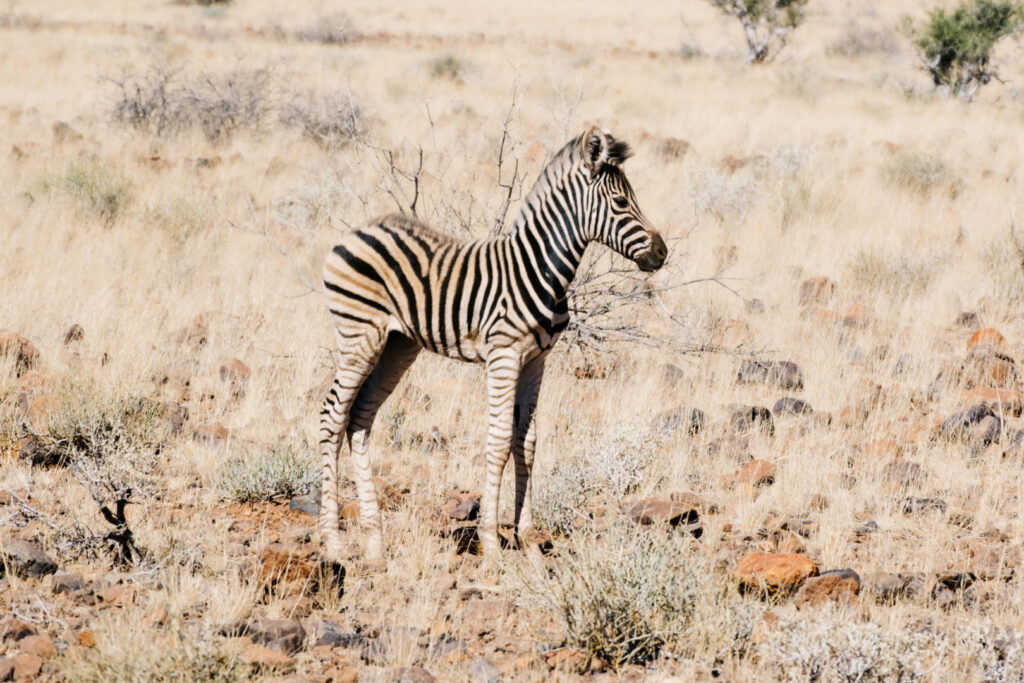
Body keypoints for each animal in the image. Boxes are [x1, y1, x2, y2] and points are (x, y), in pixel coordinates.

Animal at [321, 125, 671, 565]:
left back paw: (375, 542)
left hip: (397, 345)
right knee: (332, 418)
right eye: (622, 202)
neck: (540, 268)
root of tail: (357, 231)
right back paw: (333, 542)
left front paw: (529, 538)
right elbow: (500, 439)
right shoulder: (504, 355)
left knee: (360, 419)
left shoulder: (537, 359)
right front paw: (491, 541)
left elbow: (528, 440)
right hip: (359, 334)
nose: (662, 253)